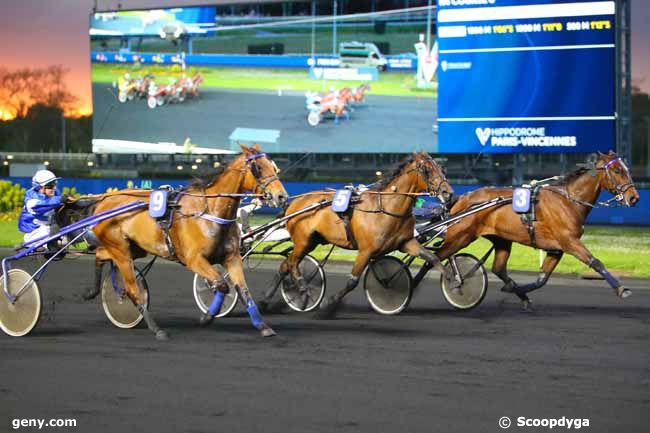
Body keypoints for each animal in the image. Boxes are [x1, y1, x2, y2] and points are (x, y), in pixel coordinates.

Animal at [67, 143, 288, 340]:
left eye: (274, 167)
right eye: (258, 168)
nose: (282, 197)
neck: (208, 211)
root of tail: (102, 202)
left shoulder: (231, 257)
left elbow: (242, 291)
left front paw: (263, 327)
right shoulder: (193, 259)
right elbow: (221, 284)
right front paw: (207, 317)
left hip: (133, 248)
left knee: (100, 255)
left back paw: (91, 291)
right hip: (121, 252)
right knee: (132, 290)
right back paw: (157, 330)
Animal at [258, 152, 450, 318]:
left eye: (441, 168)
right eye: (427, 169)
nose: (448, 193)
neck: (385, 208)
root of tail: (294, 202)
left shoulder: (407, 242)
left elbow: (432, 258)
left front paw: (452, 279)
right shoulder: (365, 251)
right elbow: (352, 281)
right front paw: (328, 303)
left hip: (312, 241)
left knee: (285, 265)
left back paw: (265, 301)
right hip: (303, 241)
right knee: (291, 264)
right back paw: (303, 292)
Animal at [430, 150, 636, 306]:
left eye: (626, 169)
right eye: (617, 170)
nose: (634, 197)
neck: (568, 200)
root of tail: (462, 199)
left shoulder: (556, 248)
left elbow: (541, 279)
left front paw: (517, 290)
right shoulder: (569, 242)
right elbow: (596, 262)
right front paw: (622, 289)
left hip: (502, 239)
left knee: (498, 268)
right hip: (460, 237)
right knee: (433, 258)